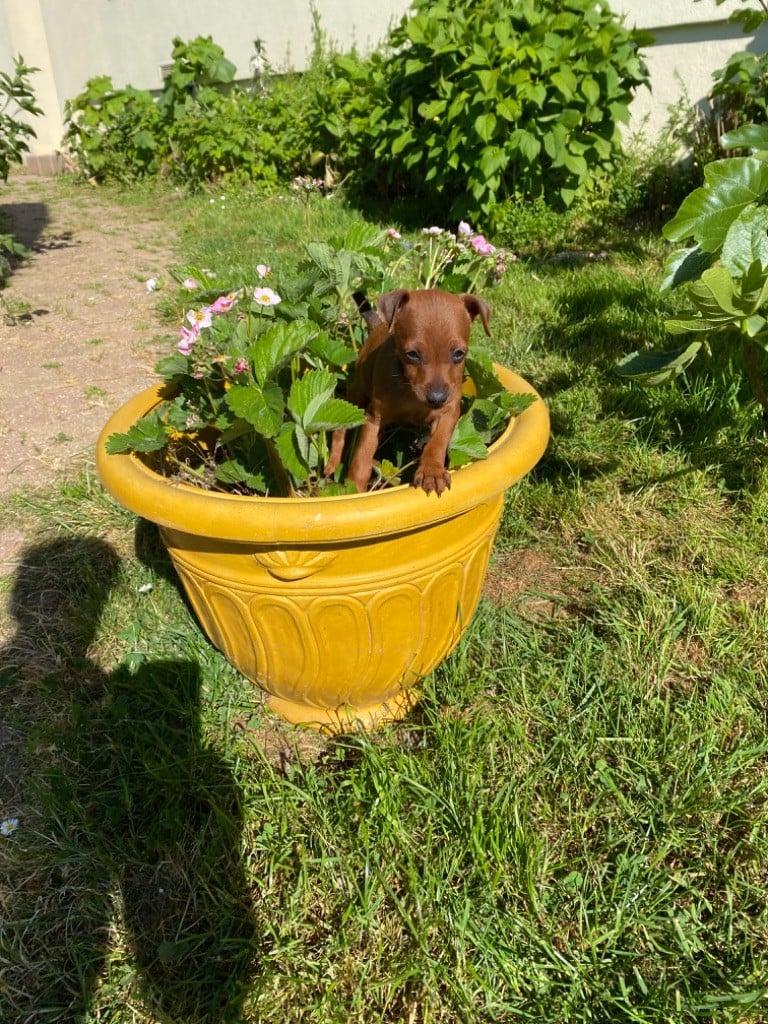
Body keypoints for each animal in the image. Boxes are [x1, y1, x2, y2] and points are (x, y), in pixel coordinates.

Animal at [325, 288, 493, 495]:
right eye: (412, 354)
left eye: (459, 354)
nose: (437, 398)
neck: (411, 393)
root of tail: (379, 326)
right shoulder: (374, 418)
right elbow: (362, 457)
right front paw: (354, 487)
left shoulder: (449, 411)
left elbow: (437, 442)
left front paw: (431, 472)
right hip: (358, 392)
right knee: (341, 428)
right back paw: (333, 464)